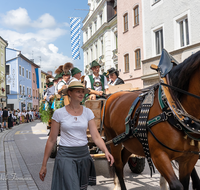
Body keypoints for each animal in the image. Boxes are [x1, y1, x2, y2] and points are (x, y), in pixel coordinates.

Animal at [103, 50, 200, 190]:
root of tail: (112, 96)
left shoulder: (189, 158)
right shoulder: (159, 155)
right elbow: (177, 185)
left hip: (130, 142)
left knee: (123, 159)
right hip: (113, 140)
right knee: (118, 165)